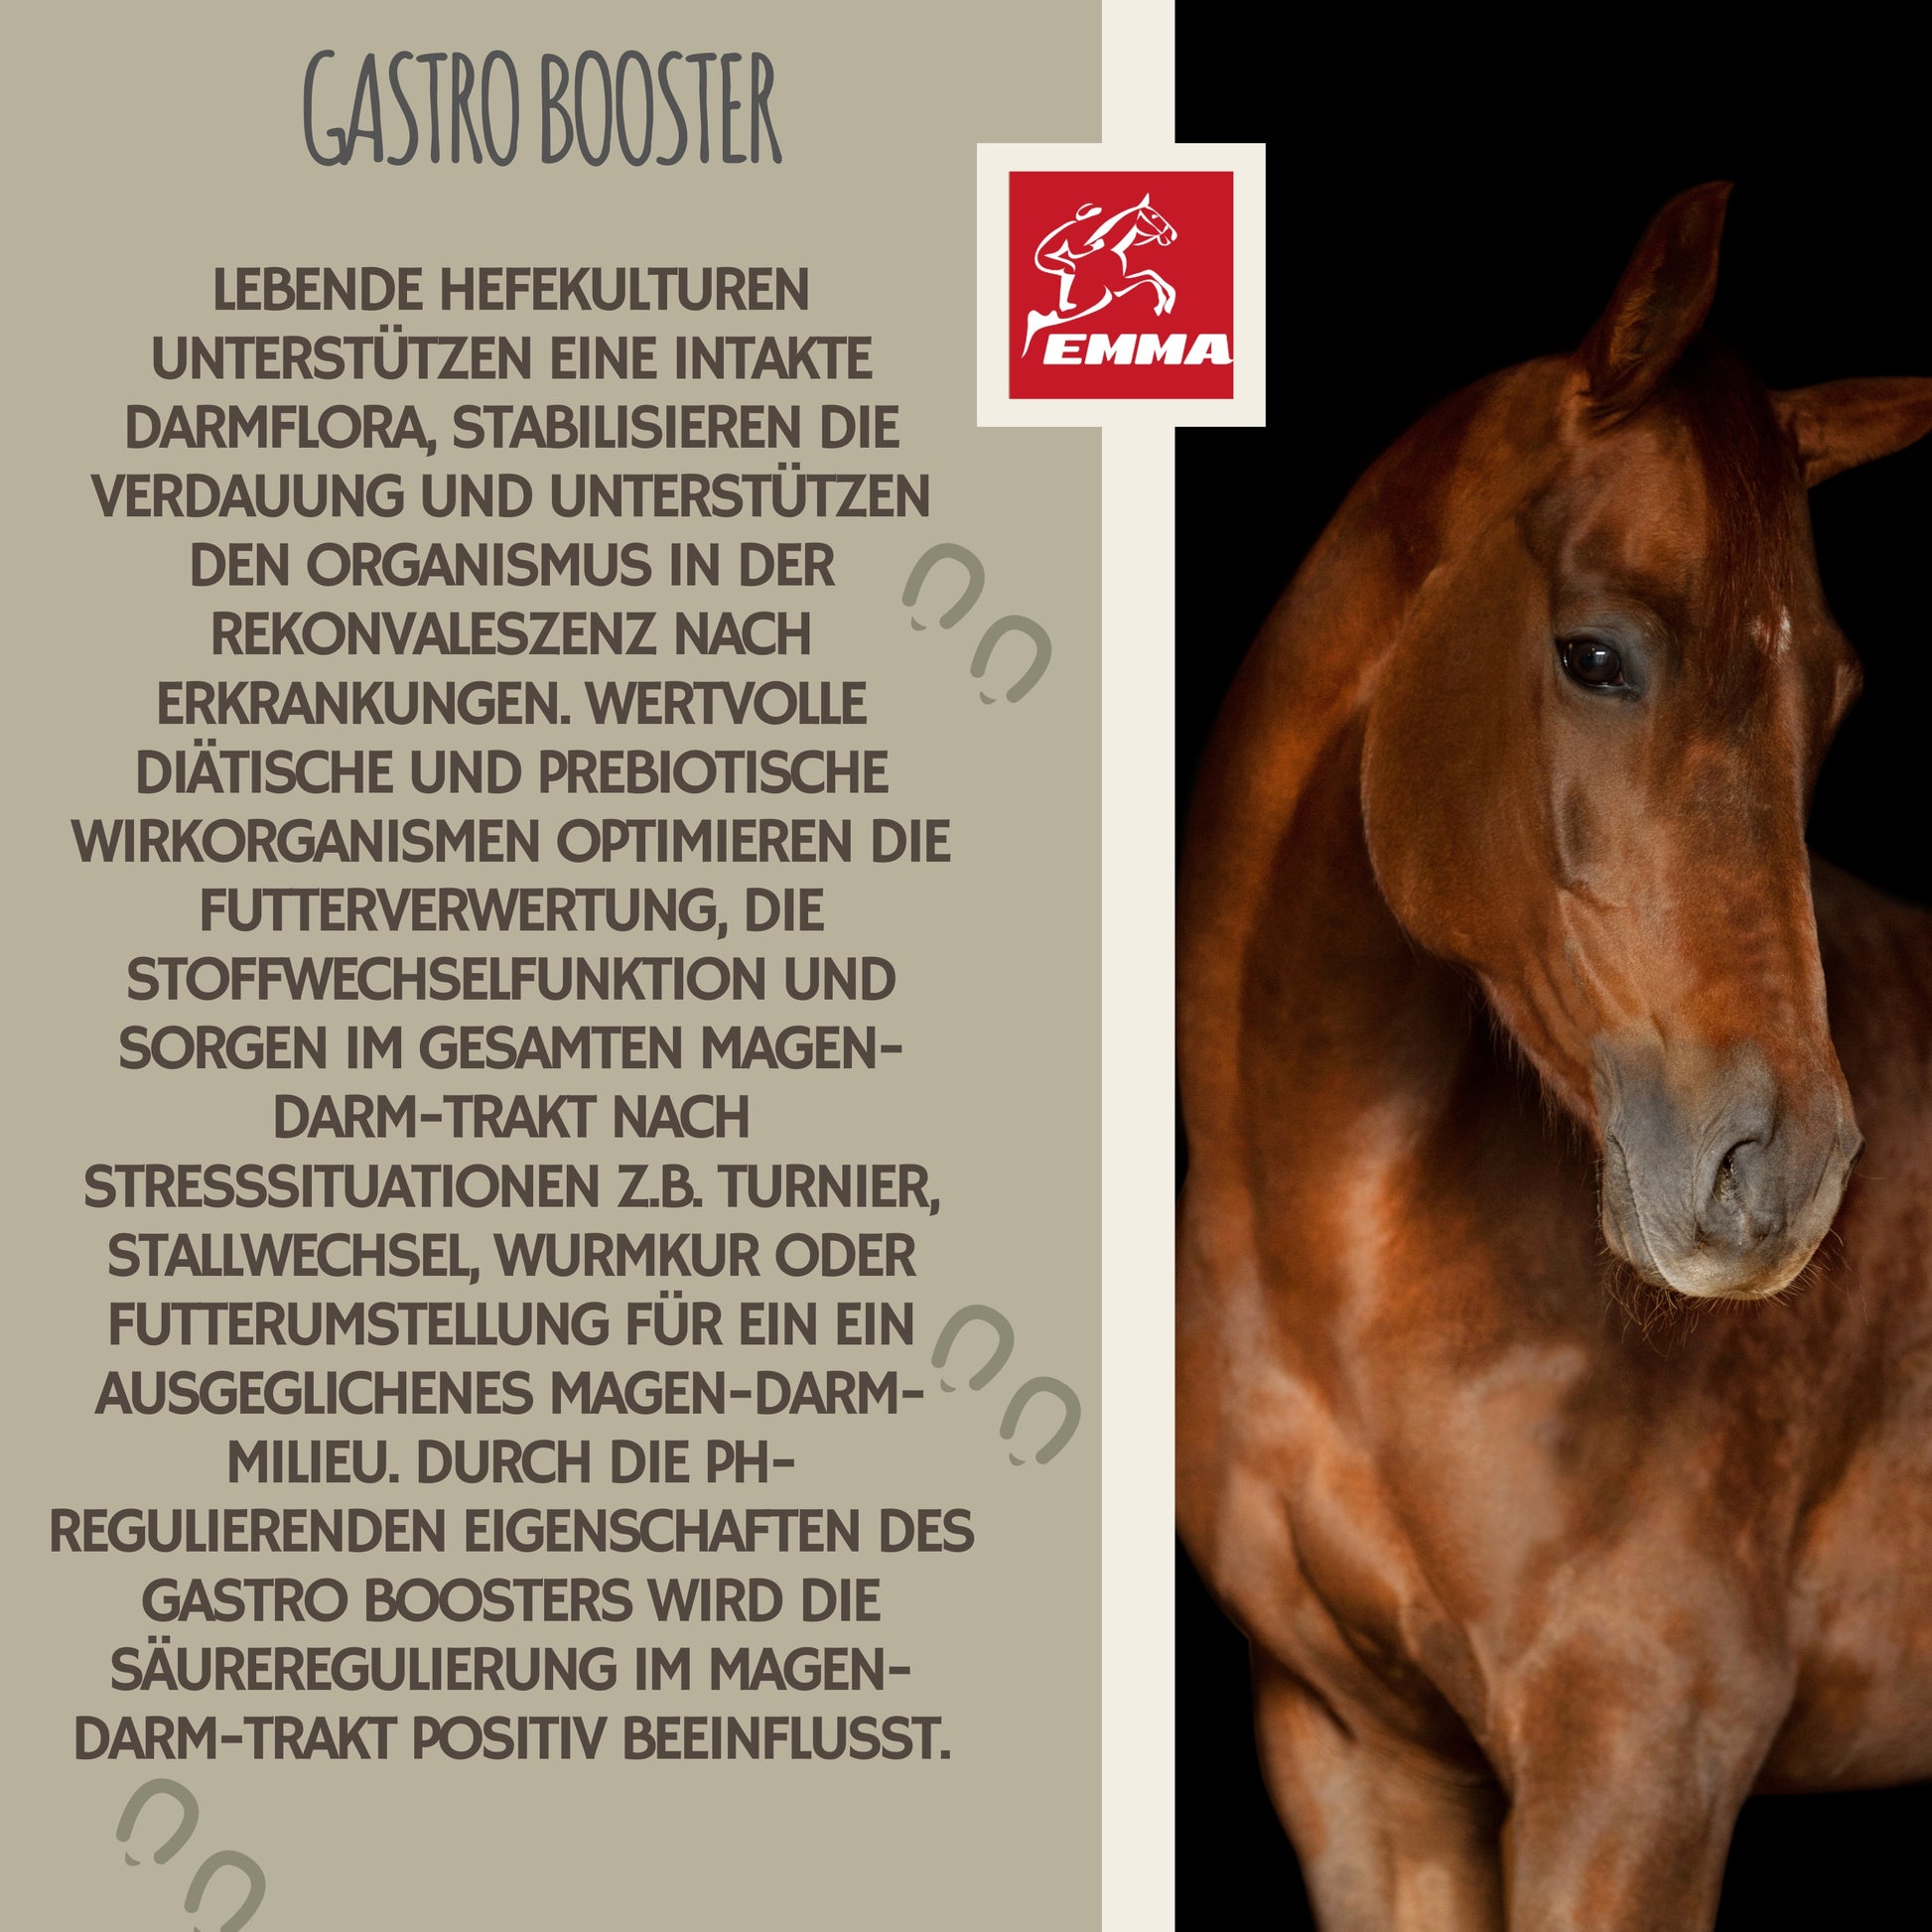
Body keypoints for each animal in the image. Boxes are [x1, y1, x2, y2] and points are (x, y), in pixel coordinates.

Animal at [1023, 195, 1178, 353]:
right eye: (1154, 216)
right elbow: (1149, 277)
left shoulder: (1120, 282)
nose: (1173, 235)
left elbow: (1151, 274)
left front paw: (1167, 303)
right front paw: (1162, 305)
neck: (1112, 248)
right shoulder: (1118, 285)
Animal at [1176, 182, 1932, 1931]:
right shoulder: (1360, 1760)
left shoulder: (1635, 1764)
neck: (1340, 1257)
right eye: (1594, 654)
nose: (1776, 1174)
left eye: (1830, 694)